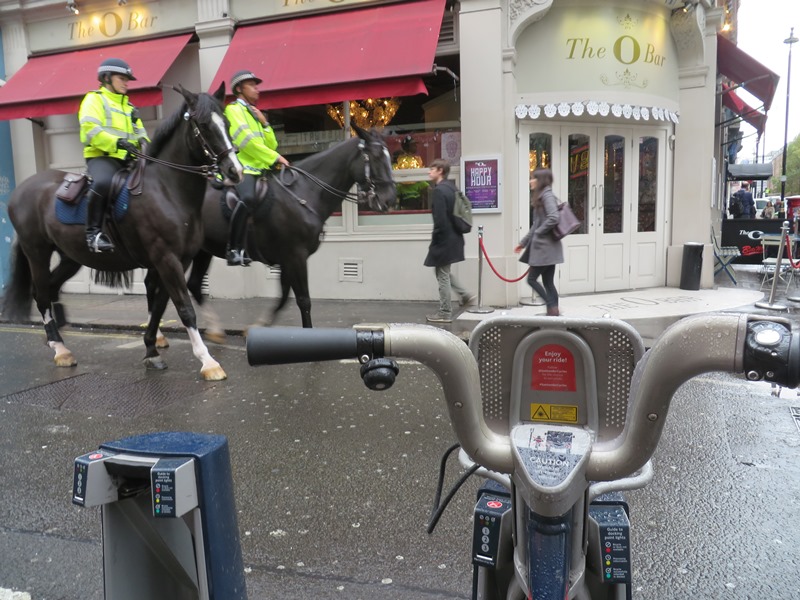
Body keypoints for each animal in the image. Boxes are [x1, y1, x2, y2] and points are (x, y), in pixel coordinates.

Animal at [1, 84, 244, 380]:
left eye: (228, 123)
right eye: (205, 125)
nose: (235, 170)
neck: (167, 190)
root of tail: (22, 190)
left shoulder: (177, 260)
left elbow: (160, 305)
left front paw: (151, 350)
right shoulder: (166, 259)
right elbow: (184, 308)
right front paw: (208, 361)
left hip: (70, 257)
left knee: (52, 287)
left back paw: (57, 339)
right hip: (37, 252)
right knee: (42, 295)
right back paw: (60, 349)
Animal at [148, 123, 396, 342]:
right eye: (375, 157)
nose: (389, 199)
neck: (304, 192)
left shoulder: (287, 258)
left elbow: (284, 297)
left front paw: (257, 327)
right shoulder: (296, 256)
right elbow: (303, 300)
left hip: (202, 251)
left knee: (192, 285)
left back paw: (212, 331)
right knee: (160, 285)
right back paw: (160, 335)